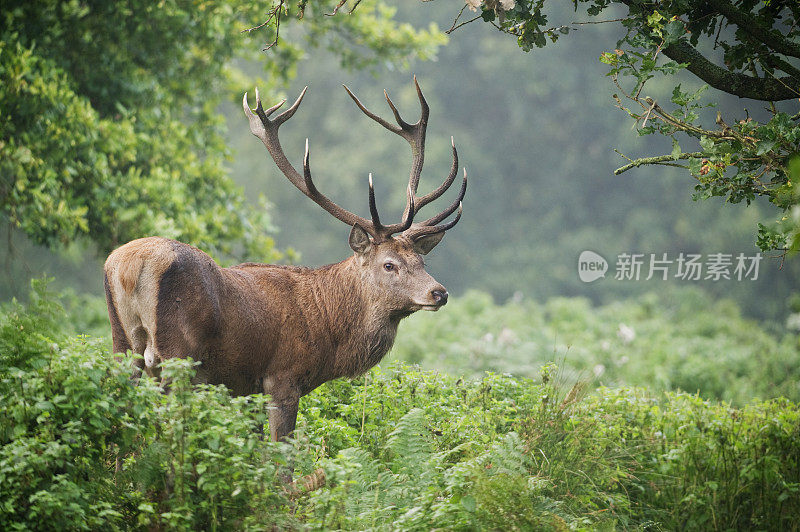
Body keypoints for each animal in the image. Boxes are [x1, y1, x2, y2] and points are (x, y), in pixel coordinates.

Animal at [106, 78, 468, 440]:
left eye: (422, 263)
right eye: (389, 264)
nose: (440, 293)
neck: (328, 328)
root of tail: (130, 266)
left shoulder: (245, 388)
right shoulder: (283, 376)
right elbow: (282, 451)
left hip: (122, 342)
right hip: (178, 354)